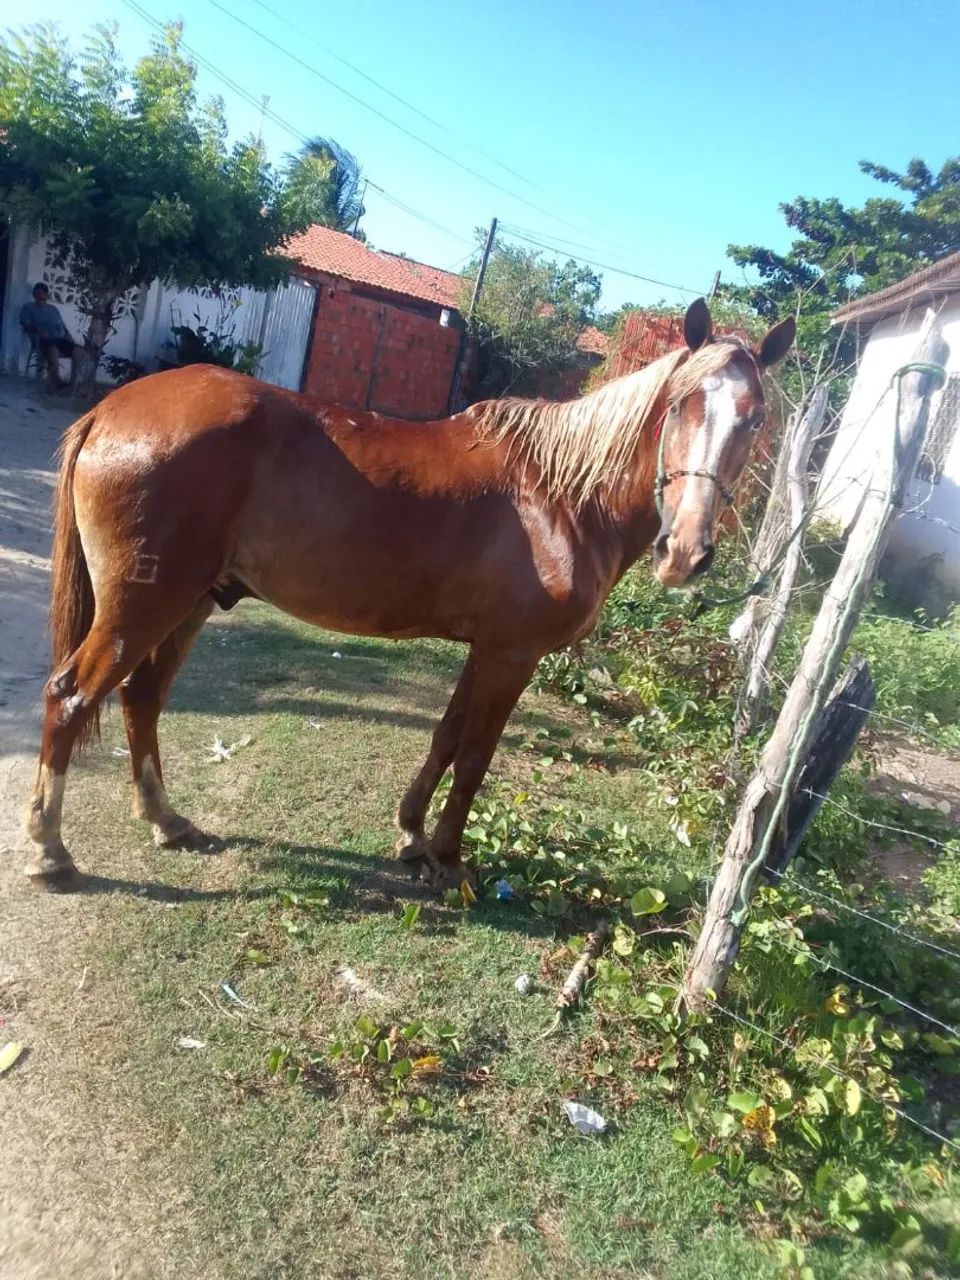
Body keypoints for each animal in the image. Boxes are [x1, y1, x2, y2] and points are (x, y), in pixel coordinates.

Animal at [22, 298, 794, 892]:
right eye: (682, 406)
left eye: (755, 417)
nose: (685, 554)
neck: (559, 494)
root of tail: (112, 410)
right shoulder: (513, 655)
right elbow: (476, 755)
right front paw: (449, 859)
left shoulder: (485, 648)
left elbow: (446, 736)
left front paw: (411, 835)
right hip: (144, 605)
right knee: (72, 696)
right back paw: (49, 849)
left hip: (188, 605)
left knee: (141, 699)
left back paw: (165, 820)